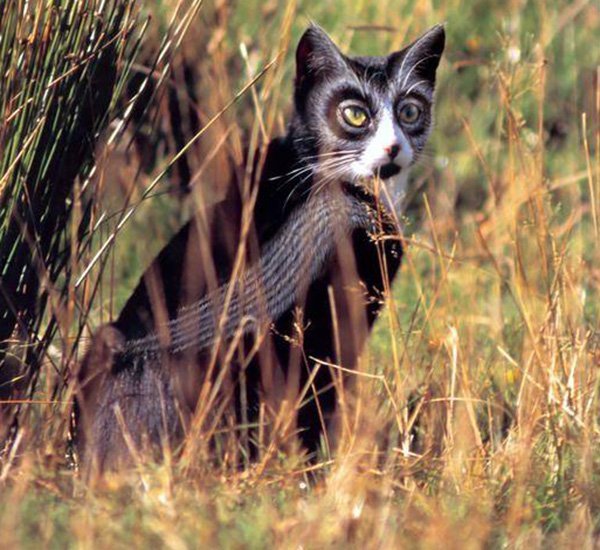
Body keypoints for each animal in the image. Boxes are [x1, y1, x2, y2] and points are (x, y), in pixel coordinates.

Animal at [74, 23, 446, 476]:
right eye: (355, 114)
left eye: (410, 112)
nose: (393, 147)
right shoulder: (334, 324)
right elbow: (316, 415)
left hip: (104, 339)